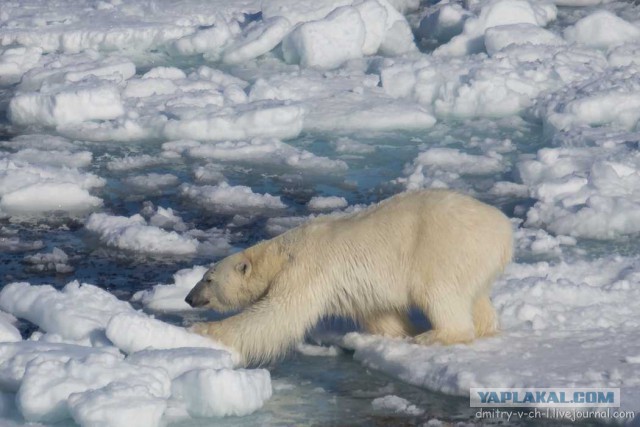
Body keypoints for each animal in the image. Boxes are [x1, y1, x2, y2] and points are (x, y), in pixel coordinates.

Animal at [186, 189, 516, 366]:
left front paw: (202, 329)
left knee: (439, 292)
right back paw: (485, 328)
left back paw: (434, 335)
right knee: (475, 296)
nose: (189, 298)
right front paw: (396, 334)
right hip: (475, 258)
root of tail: (503, 228)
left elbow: (278, 313)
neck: (282, 252)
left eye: (208, 279)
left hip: (444, 247)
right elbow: (379, 314)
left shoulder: (306, 268)